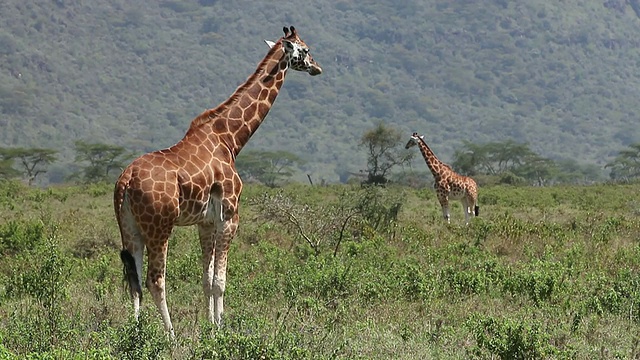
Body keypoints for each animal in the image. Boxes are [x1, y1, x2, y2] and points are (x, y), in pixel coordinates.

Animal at [113, 26, 322, 338]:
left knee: (134, 281)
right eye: (305, 49)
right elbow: (220, 281)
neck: (231, 139)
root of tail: (125, 181)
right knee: (155, 280)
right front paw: (221, 329)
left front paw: (210, 326)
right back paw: (170, 336)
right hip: (159, 226)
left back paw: (135, 334)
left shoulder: (206, 221)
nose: (317, 68)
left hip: (129, 228)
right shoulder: (230, 215)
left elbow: (207, 278)